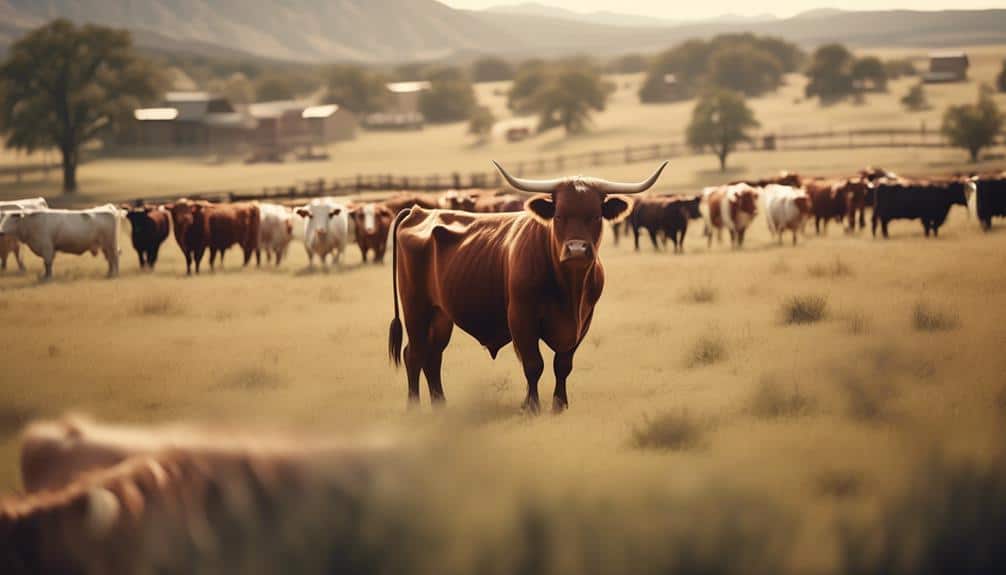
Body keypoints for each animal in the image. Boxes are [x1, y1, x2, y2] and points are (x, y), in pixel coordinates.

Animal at [388, 161, 666, 413]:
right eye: (559, 215)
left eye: (596, 215)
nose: (576, 249)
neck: (570, 288)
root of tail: (420, 211)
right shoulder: (522, 317)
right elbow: (534, 365)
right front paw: (532, 405)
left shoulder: (583, 321)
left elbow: (563, 365)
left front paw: (559, 404)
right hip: (415, 308)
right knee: (414, 354)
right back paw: (414, 407)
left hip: (441, 314)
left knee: (433, 356)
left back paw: (440, 405)